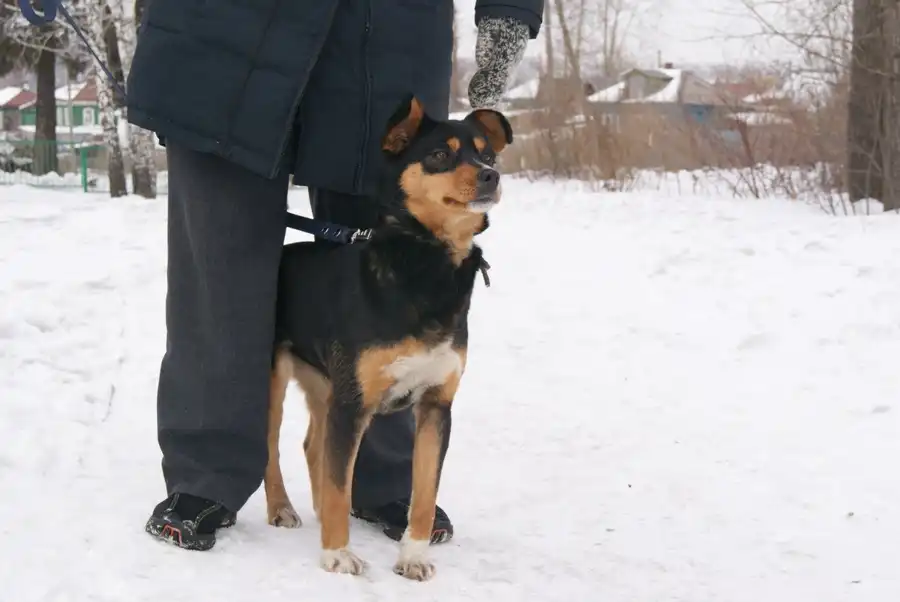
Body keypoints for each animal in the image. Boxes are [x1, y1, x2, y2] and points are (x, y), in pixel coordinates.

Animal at [263, 95, 513, 581]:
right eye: (440, 154)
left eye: (487, 155)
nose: (490, 176)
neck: (429, 265)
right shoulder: (353, 403)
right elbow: (341, 481)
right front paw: (337, 554)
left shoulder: (436, 405)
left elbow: (423, 493)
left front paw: (413, 556)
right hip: (275, 379)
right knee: (272, 449)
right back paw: (282, 509)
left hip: (326, 385)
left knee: (312, 446)